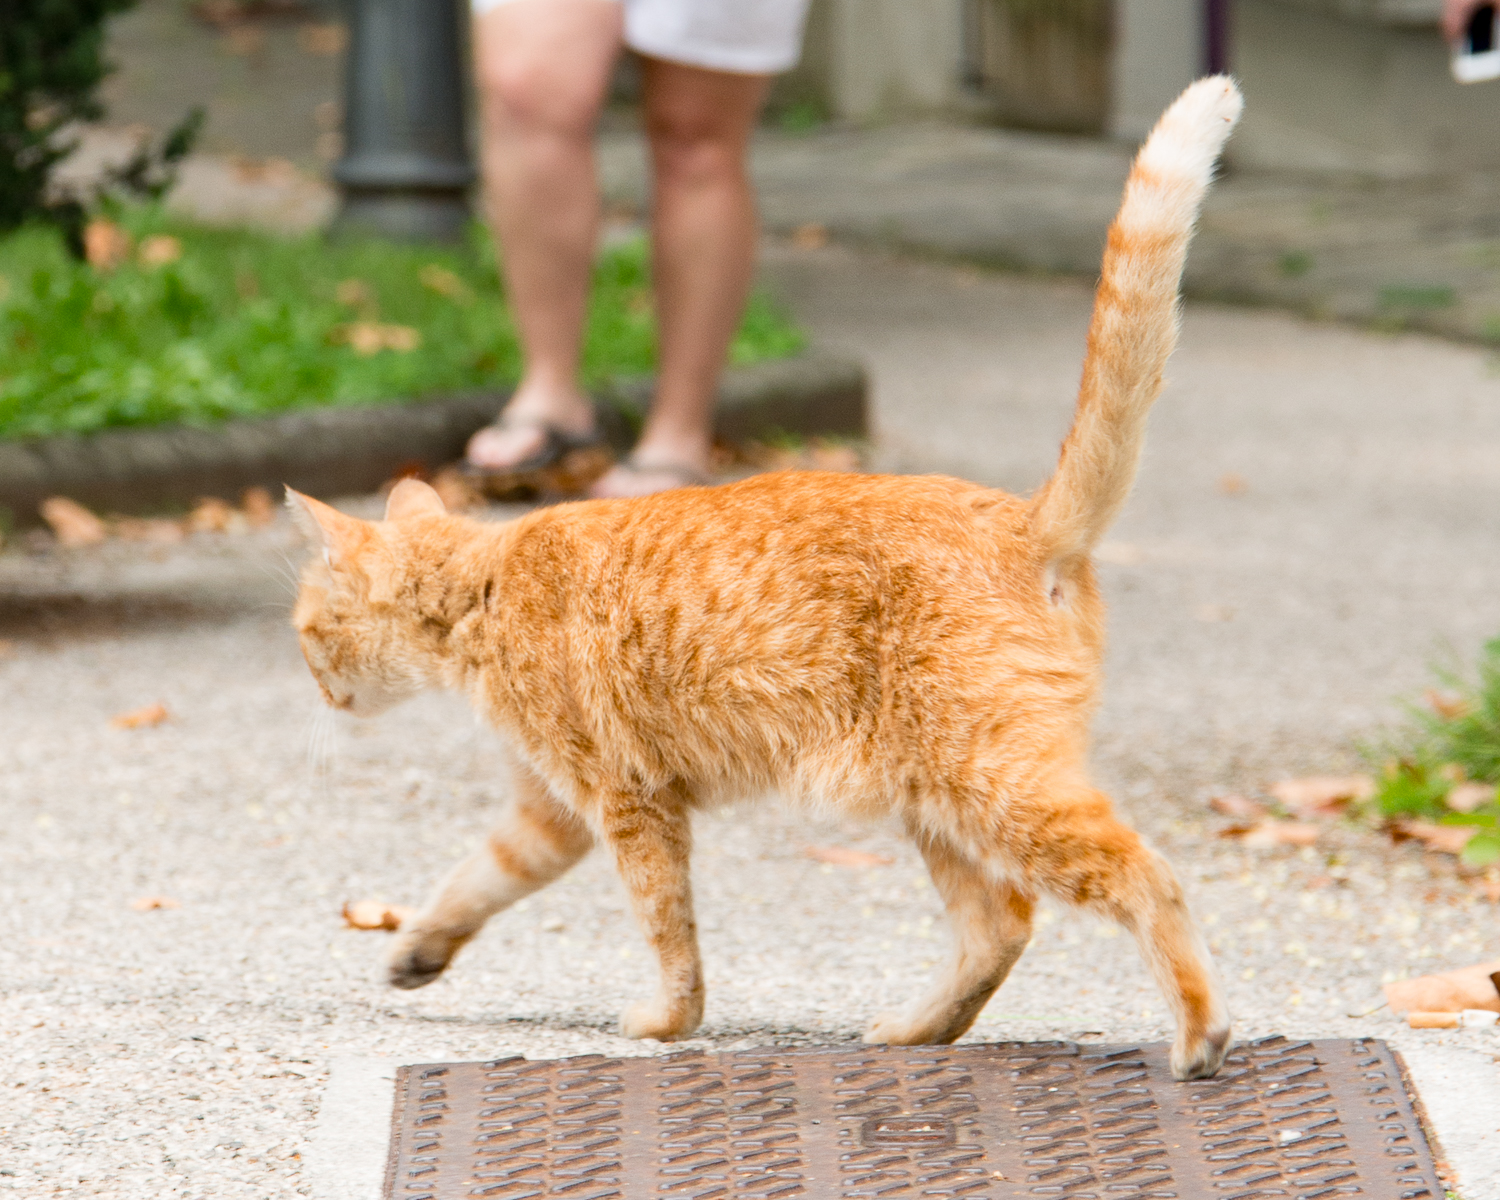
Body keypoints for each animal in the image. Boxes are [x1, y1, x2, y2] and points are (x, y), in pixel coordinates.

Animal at [289, 79, 1242, 1080]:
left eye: (307, 632)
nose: (315, 686)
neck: (488, 585)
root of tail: (1026, 518)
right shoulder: (551, 812)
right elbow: (476, 877)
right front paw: (418, 948)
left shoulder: (630, 800)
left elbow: (667, 928)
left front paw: (668, 1021)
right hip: (938, 801)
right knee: (1000, 925)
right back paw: (914, 1030)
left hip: (997, 788)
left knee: (1144, 877)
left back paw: (1199, 1034)